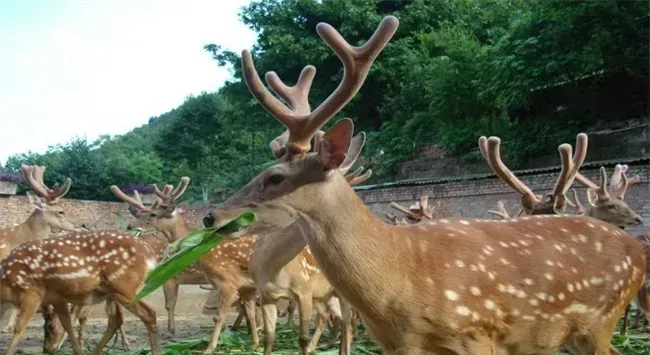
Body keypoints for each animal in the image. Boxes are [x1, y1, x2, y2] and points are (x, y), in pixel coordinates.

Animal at [201, 15, 648, 354]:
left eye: (275, 177)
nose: (210, 216)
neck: (399, 282)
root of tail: (637, 254)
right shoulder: (401, 345)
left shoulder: (477, 333)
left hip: (599, 319)